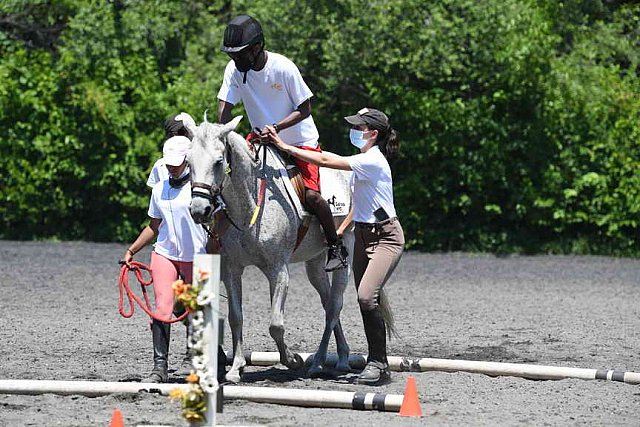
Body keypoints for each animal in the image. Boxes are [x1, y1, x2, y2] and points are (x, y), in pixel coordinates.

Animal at [185, 117, 352, 384]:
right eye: (188, 162)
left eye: (219, 161)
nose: (200, 210)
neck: (250, 205)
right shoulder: (232, 269)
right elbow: (235, 317)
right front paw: (236, 368)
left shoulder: (278, 270)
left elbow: (275, 324)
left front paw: (292, 359)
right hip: (314, 262)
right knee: (328, 304)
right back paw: (338, 356)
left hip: (346, 246)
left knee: (335, 305)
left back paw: (321, 362)